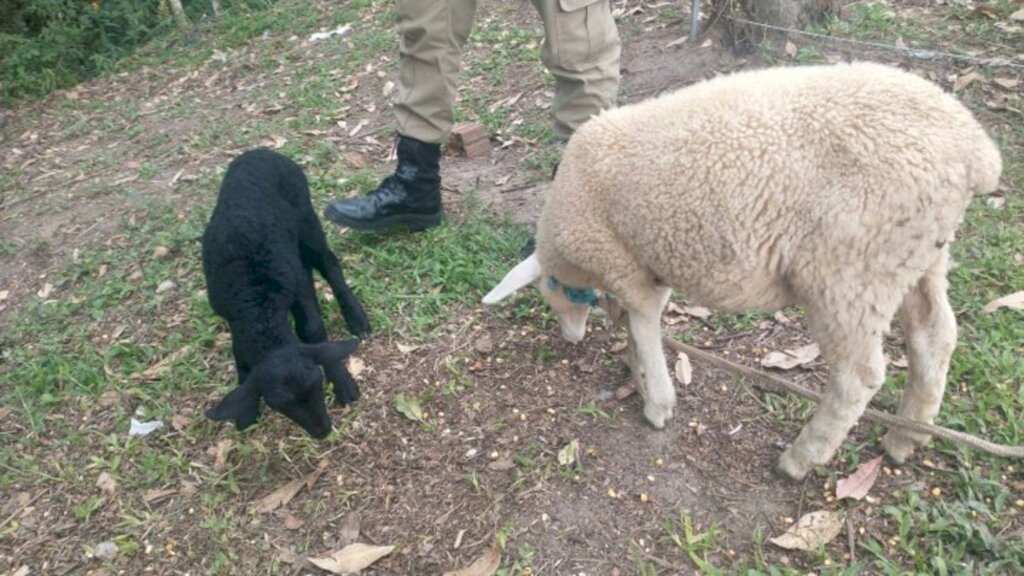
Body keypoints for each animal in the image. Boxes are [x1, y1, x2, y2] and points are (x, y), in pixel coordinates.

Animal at [197, 146, 370, 434]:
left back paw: (357, 318)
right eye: (280, 404)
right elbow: (239, 351)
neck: (256, 301)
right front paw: (246, 410)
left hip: (307, 219)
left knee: (328, 262)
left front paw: (342, 381)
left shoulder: (295, 285)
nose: (323, 431)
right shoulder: (232, 315)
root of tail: (261, 150)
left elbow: (313, 330)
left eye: (318, 385)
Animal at [483, 60, 1003, 477]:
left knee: (859, 376)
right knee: (935, 336)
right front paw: (635, 368)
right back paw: (905, 437)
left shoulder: (623, 263)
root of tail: (975, 151)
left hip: (851, 271)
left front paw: (657, 403)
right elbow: (637, 323)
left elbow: (645, 322)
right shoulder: (649, 263)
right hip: (918, 255)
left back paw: (800, 459)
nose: (570, 338)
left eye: (552, 290)